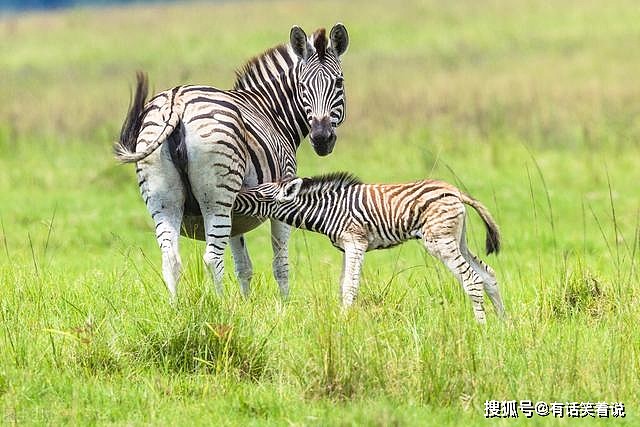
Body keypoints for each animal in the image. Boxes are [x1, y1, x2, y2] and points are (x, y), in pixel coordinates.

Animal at [115, 24, 350, 300]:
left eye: (338, 82)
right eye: (303, 85)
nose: (322, 138)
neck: (271, 111)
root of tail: (177, 102)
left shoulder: (237, 213)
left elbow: (243, 266)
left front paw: (246, 305)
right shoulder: (283, 197)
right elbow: (280, 263)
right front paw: (284, 304)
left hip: (162, 197)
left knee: (171, 259)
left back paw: (175, 307)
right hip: (217, 197)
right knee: (212, 258)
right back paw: (220, 305)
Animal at [234, 174, 504, 324]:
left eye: (259, 196)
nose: (235, 197)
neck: (328, 209)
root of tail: (454, 191)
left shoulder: (356, 242)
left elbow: (350, 286)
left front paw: (343, 323)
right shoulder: (346, 247)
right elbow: (343, 285)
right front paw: (341, 319)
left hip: (439, 242)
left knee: (472, 279)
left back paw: (481, 327)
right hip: (456, 240)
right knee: (488, 275)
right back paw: (503, 324)